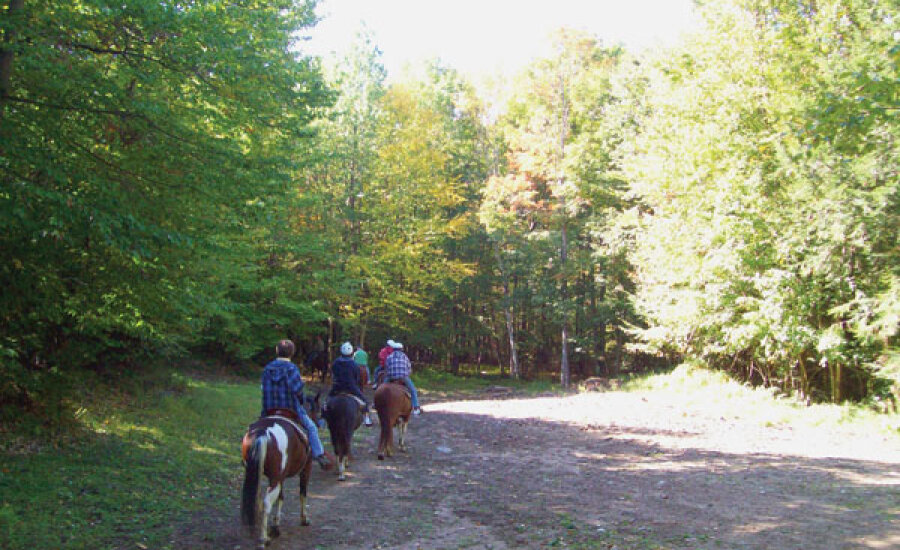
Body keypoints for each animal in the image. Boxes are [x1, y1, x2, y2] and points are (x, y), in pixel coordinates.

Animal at [241, 406, 322, 548]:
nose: (318, 421)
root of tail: (263, 432)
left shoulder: (281, 477)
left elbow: (281, 497)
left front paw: (276, 526)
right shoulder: (306, 468)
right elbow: (303, 493)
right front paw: (304, 519)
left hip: (259, 474)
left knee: (258, 500)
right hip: (276, 478)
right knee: (267, 503)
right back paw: (263, 539)